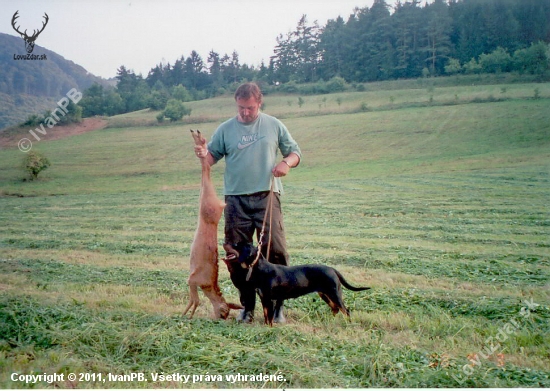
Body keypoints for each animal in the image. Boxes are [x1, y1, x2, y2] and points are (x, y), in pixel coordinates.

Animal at [226, 243, 374, 326]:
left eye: (236, 245)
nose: (224, 243)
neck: (261, 269)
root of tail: (332, 269)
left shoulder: (269, 298)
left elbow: (269, 316)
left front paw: (269, 327)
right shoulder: (264, 298)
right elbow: (266, 314)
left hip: (334, 293)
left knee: (345, 310)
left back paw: (348, 324)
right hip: (325, 294)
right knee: (336, 309)